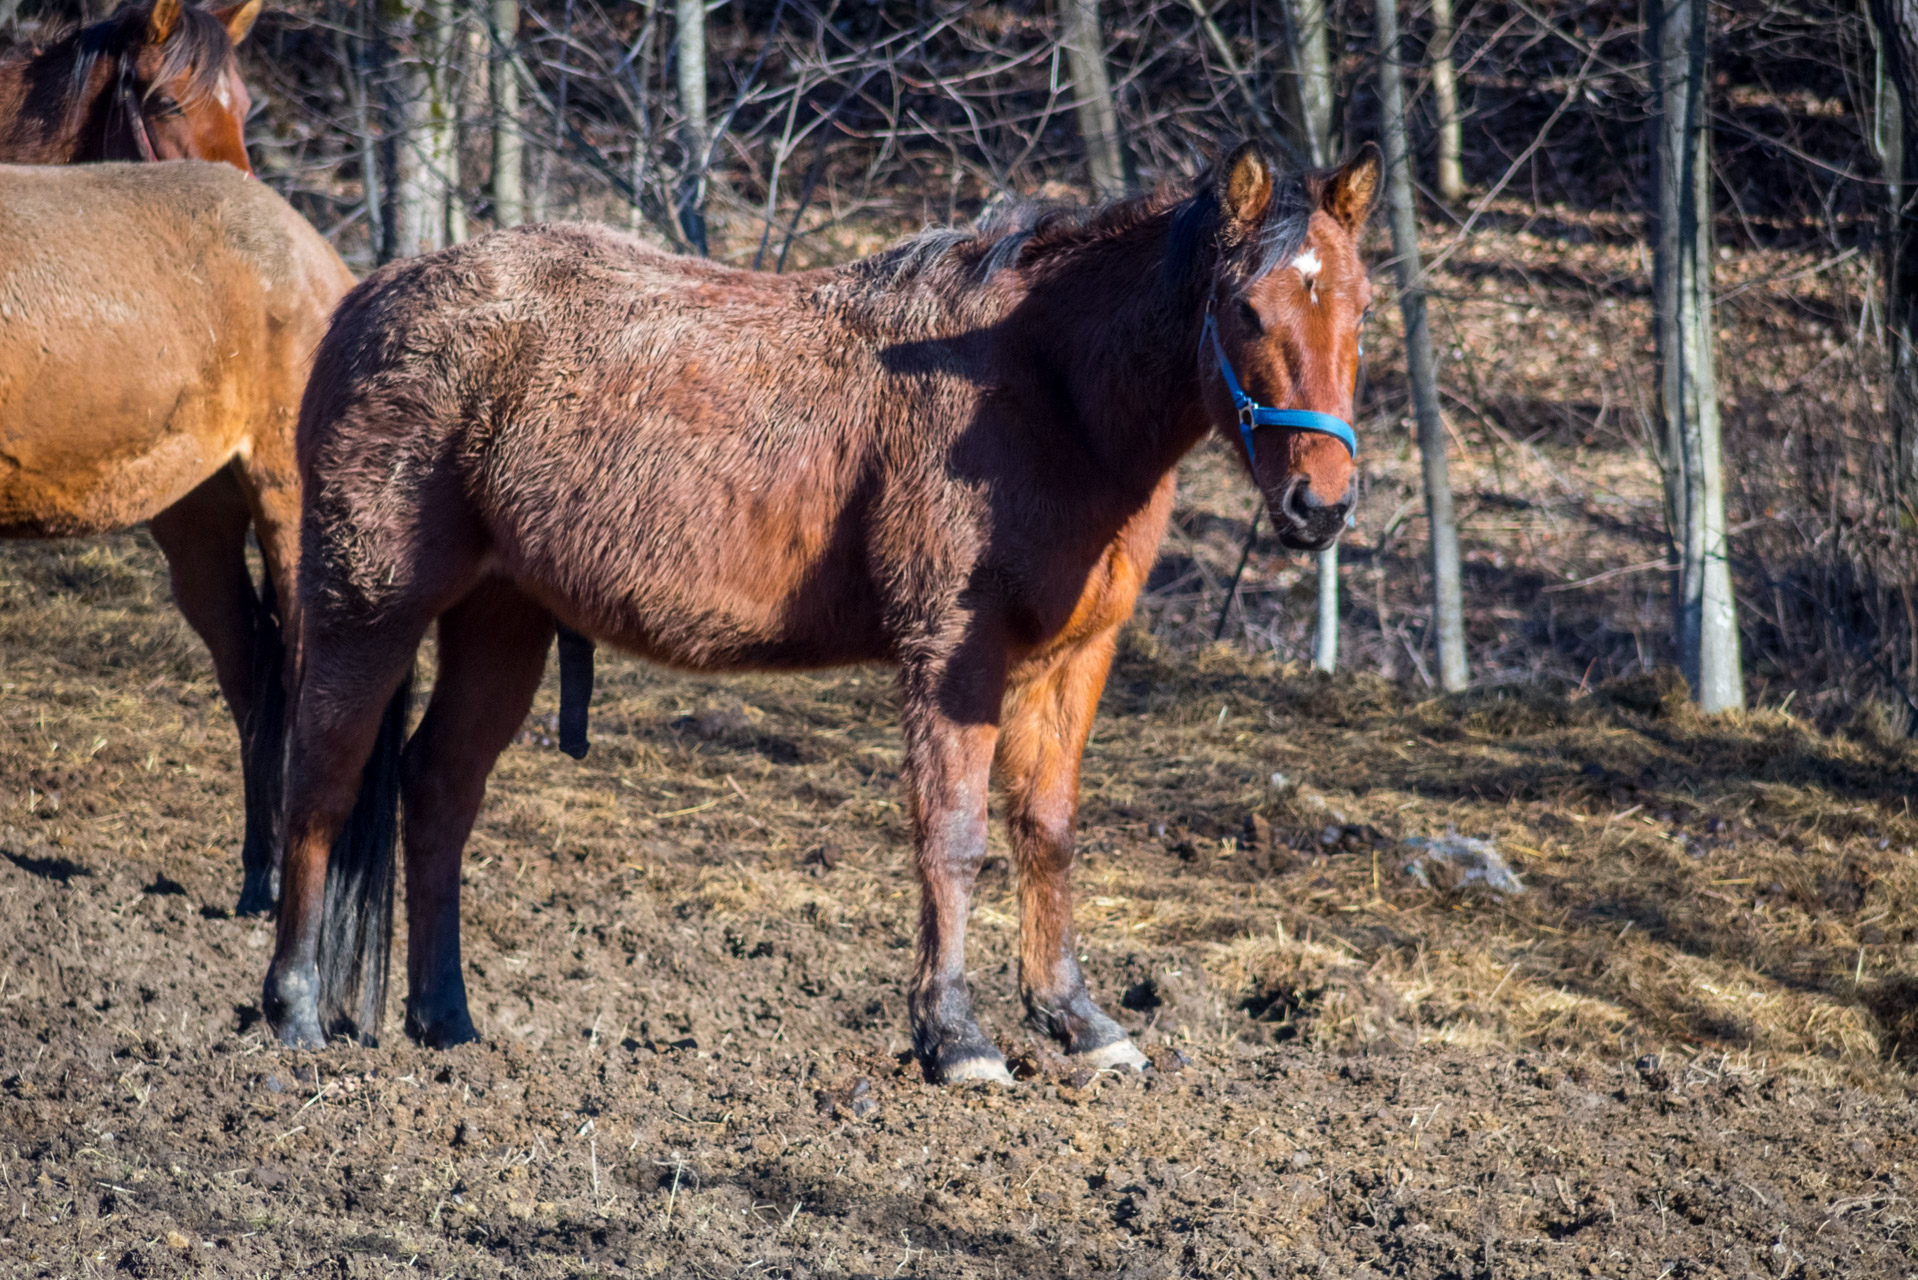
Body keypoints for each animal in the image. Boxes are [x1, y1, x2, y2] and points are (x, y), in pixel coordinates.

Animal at [266, 140, 1380, 1082]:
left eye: (1359, 308)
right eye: (1246, 310)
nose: (1320, 505)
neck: (1037, 390)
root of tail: (369, 296)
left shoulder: (1075, 657)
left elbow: (1048, 831)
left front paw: (1078, 1020)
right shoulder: (953, 653)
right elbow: (954, 835)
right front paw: (954, 1035)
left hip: (503, 618)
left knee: (437, 790)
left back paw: (446, 1018)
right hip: (368, 603)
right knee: (321, 781)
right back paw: (295, 1009)